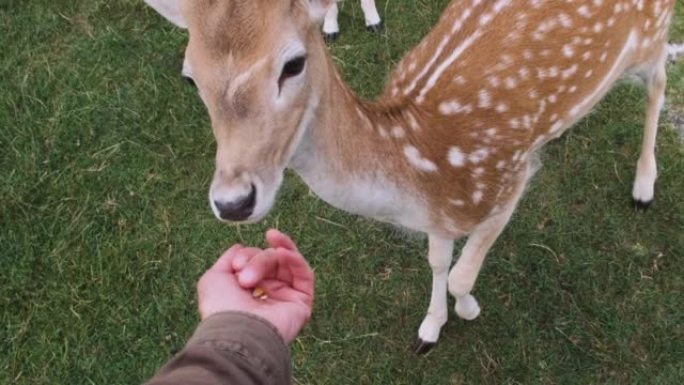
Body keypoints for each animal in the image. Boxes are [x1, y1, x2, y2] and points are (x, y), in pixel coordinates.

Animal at [144, 0, 672, 352]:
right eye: (190, 76)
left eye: (292, 64)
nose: (233, 201)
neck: (420, 158)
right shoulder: (440, 215)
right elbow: (438, 262)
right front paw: (431, 328)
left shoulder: (507, 178)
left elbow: (460, 275)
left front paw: (469, 309)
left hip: (653, 30)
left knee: (660, 80)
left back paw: (644, 187)